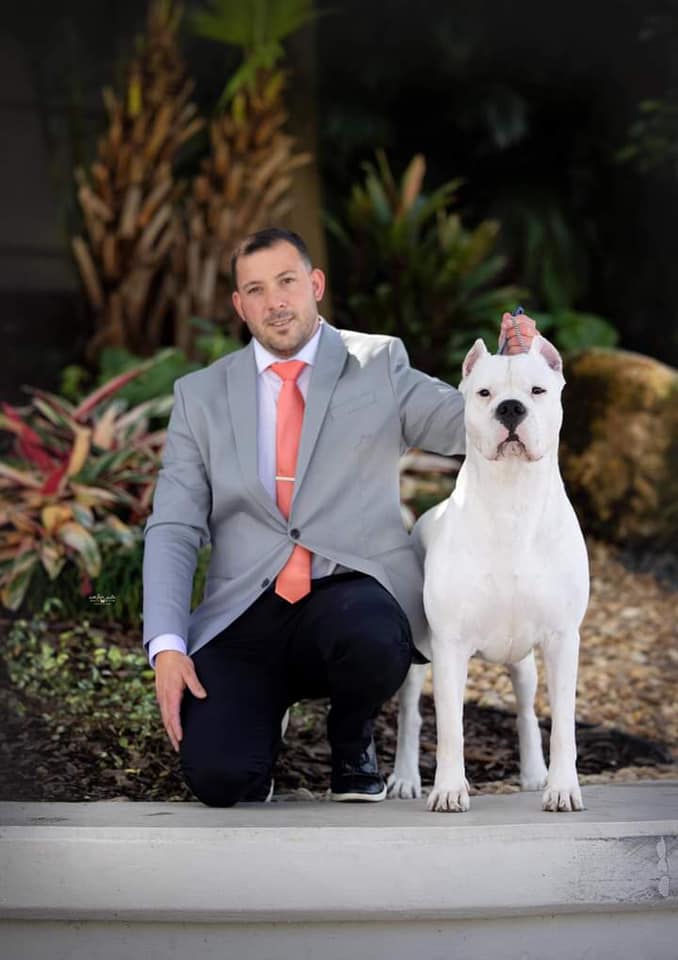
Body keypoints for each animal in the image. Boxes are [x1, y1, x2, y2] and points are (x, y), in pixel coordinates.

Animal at [390, 336, 592, 808]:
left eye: (538, 391)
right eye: (484, 393)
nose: (511, 408)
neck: (512, 498)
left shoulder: (562, 639)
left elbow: (563, 725)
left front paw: (562, 788)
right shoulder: (449, 645)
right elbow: (450, 728)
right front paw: (448, 790)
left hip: (523, 662)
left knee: (525, 711)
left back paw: (535, 774)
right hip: (418, 652)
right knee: (411, 713)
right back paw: (406, 778)